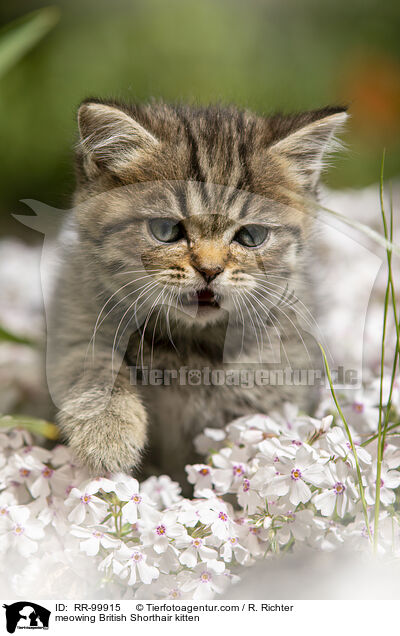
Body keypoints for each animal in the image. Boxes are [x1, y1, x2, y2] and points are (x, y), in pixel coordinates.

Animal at [47, 99, 346, 482]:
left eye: (251, 236)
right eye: (166, 230)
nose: (210, 269)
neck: (187, 345)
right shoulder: (76, 314)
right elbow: (87, 360)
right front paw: (107, 433)